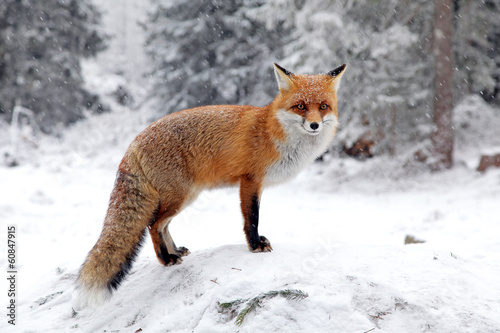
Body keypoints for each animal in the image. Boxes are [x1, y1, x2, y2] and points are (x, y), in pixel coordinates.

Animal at [75, 63, 348, 308]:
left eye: (323, 107)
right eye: (300, 106)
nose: (314, 125)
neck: (274, 133)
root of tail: (135, 141)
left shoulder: (254, 183)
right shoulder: (250, 180)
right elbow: (251, 218)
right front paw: (255, 245)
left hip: (186, 197)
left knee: (163, 226)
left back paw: (175, 252)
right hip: (179, 197)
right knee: (153, 225)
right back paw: (166, 259)